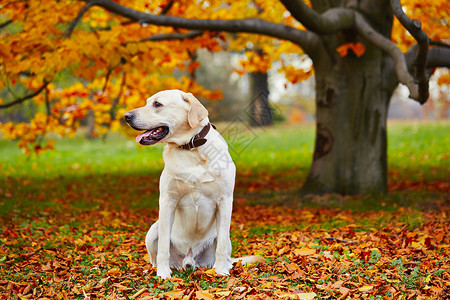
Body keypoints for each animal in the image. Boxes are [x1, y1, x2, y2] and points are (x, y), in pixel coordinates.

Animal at [125, 89, 241, 278]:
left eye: (157, 104)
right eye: (147, 102)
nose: (126, 116)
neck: (191, 148)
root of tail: (189, 261)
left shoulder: (225, 201)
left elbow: (222, 246)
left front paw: (221, 271)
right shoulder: (167, 201)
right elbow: (163, 246)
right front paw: (163, 274)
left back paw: (225, 266)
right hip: (152, 231)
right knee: (154, 256)